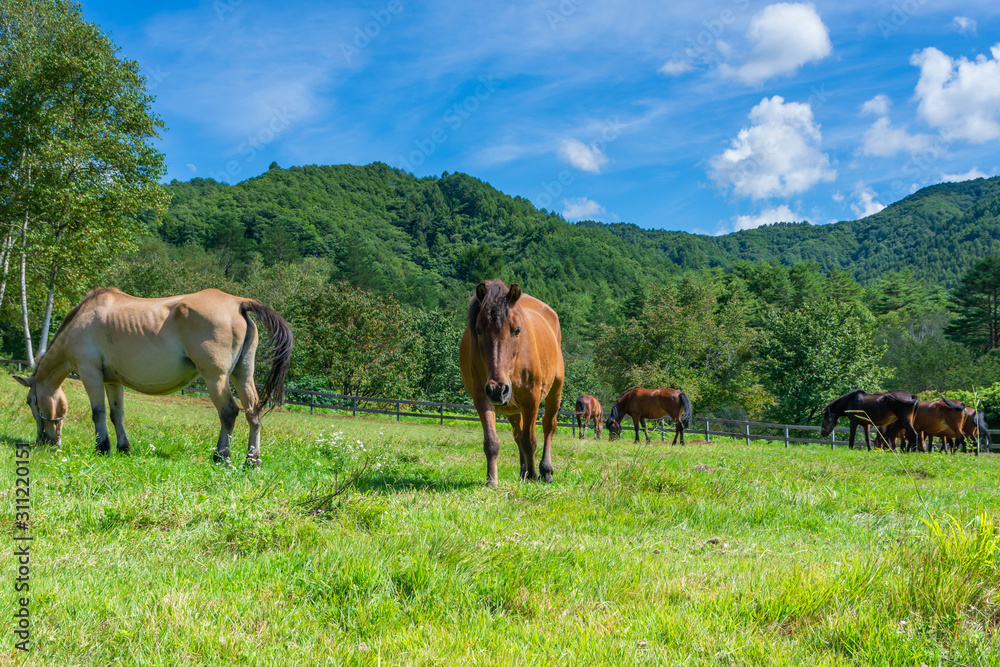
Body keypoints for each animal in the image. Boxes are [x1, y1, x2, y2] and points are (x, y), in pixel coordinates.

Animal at [13, 288, 292, 464]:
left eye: (30, 401)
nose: (43, 442)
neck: (84, 318)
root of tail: (237, 302)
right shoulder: (112, 380)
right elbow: (116, 414)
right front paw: (123, 447)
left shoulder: (89, 372)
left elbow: (98, 412)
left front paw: (102, 448)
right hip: (242, 375)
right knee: (253, 412)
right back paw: (252, 459)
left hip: (217, 378)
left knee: (229, 412)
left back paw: (221, 457)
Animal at [458, 280, 564, 488]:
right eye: (479, 330)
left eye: (517, 330)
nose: (498, 390)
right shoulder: (482, 398)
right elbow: (492, 442)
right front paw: (492, 479)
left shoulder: (532, 399)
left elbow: (529, 441)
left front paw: (534, 475)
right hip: (512, 408)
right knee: (518, 433)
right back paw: (524, 472)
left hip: (555, 391)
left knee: (548, 426)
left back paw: (545, 471)